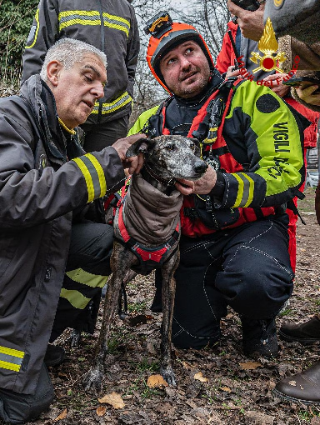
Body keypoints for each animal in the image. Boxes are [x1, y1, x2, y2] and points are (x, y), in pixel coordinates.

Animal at [82, 136, 208, 390]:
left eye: (192, 147)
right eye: (170, 147)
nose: (201, 166)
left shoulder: (169, 280)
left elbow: (166, 331)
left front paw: (166, 368)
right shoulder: (117, 275)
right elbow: (103, 334)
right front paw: (95, 373)